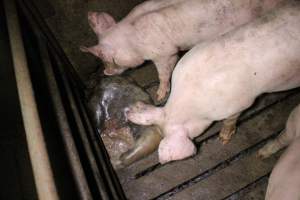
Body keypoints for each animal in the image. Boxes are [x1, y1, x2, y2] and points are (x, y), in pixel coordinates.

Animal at [79, 0, 282, 100]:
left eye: (108, 60)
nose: (106, 72)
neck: (132, 39)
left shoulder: (163, 52)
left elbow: (163, 73)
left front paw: (159, 96)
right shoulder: (171, 51)